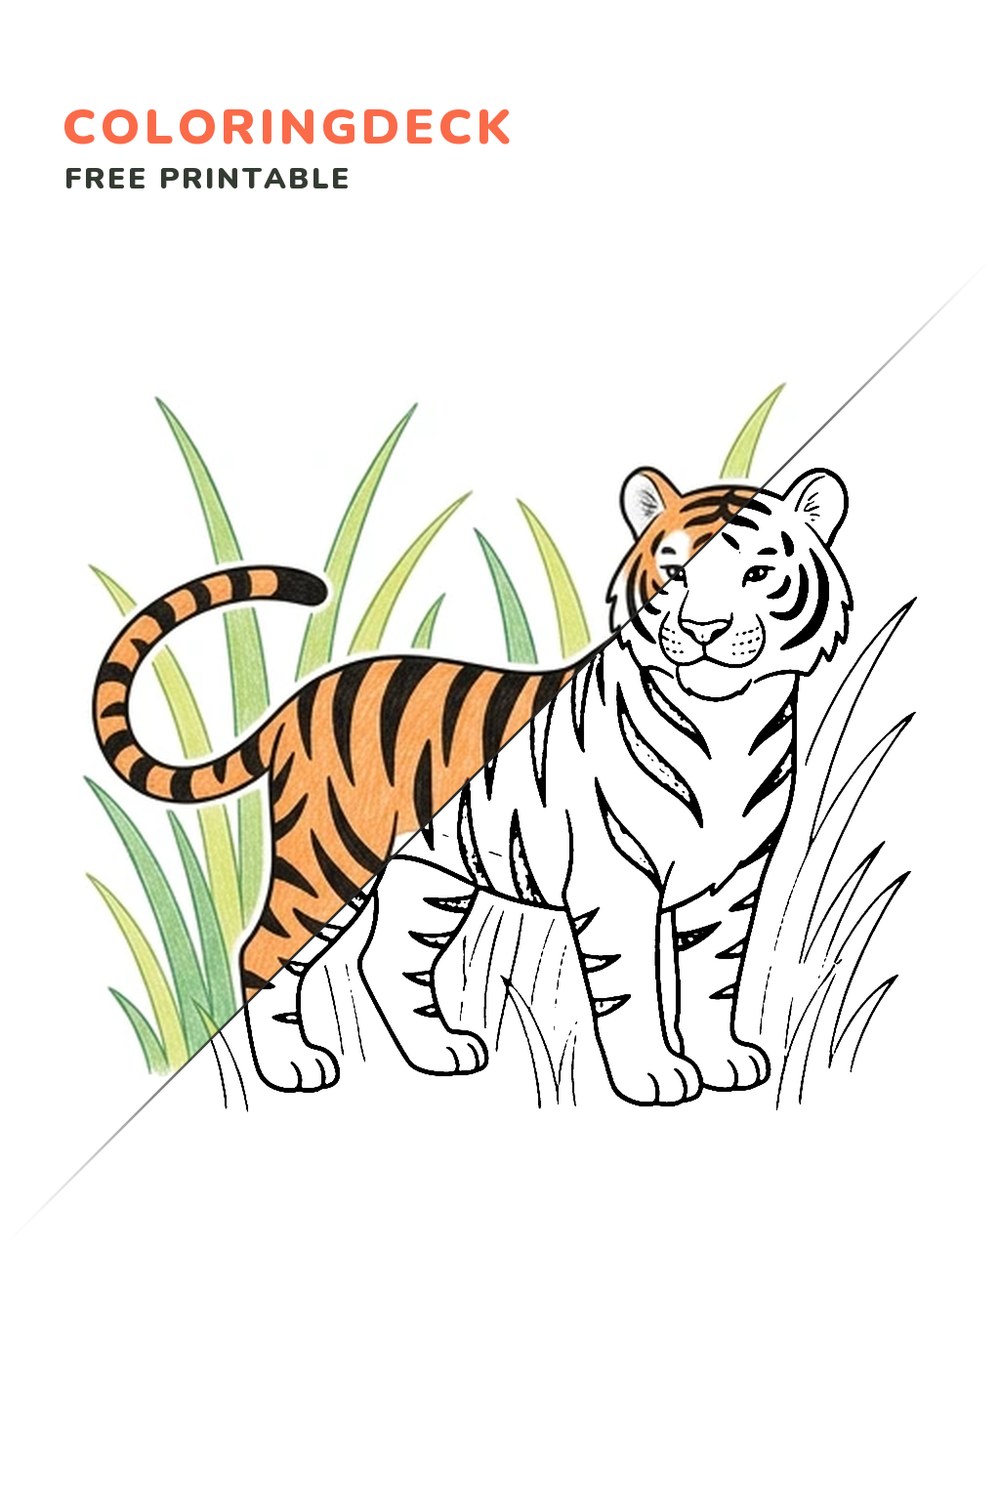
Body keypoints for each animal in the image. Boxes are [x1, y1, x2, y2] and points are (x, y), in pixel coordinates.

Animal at [93, 464, 851, 1105]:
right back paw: (291, 1066)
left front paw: (725, 1059)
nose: (703, 628)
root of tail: (296, 702)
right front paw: (654, 1074)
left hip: (428, 874)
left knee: (387, 958)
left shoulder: (733, 880)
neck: (727, 724)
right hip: (329, 857)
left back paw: (440, 1051)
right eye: (675, 570)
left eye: (758, 571)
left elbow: (715, 979)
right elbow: (632, 985)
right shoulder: (614, 881)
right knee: (263, 951)